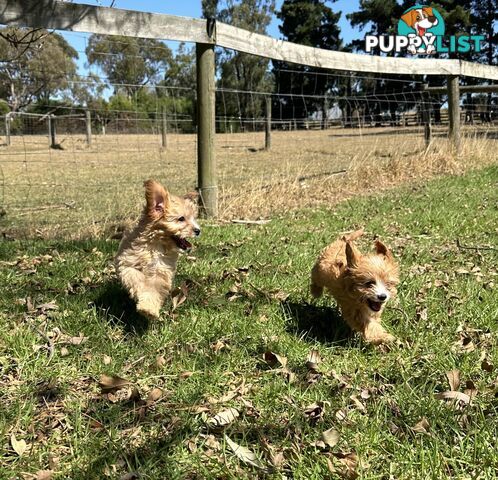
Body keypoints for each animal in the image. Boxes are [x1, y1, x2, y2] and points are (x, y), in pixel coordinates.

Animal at [116, 180, 200, 318]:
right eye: (181, 219)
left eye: (193, 218)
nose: (198, 230)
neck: (156, 245)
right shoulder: (128, 262)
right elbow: (135, 277)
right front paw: (140, 291)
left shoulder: (160, 270)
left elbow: (153, 289)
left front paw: (148, 309)